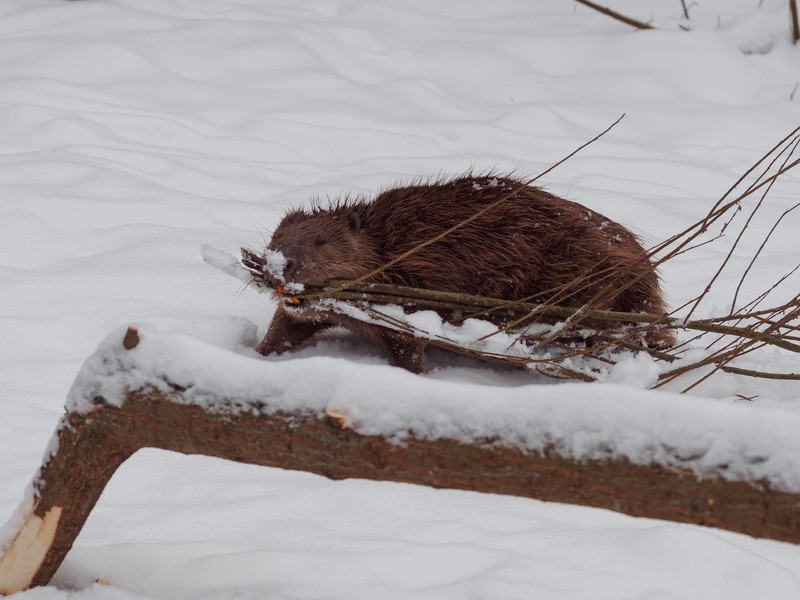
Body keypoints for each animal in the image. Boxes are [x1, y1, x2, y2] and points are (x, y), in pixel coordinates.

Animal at [255, 173, 676, 370]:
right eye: (276, 236)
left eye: (321, 242)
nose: (278, 266)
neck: (387, 249)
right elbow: (287, 325)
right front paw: (257, 354)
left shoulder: (410, 294)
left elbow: (408, 344)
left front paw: (417, 374)